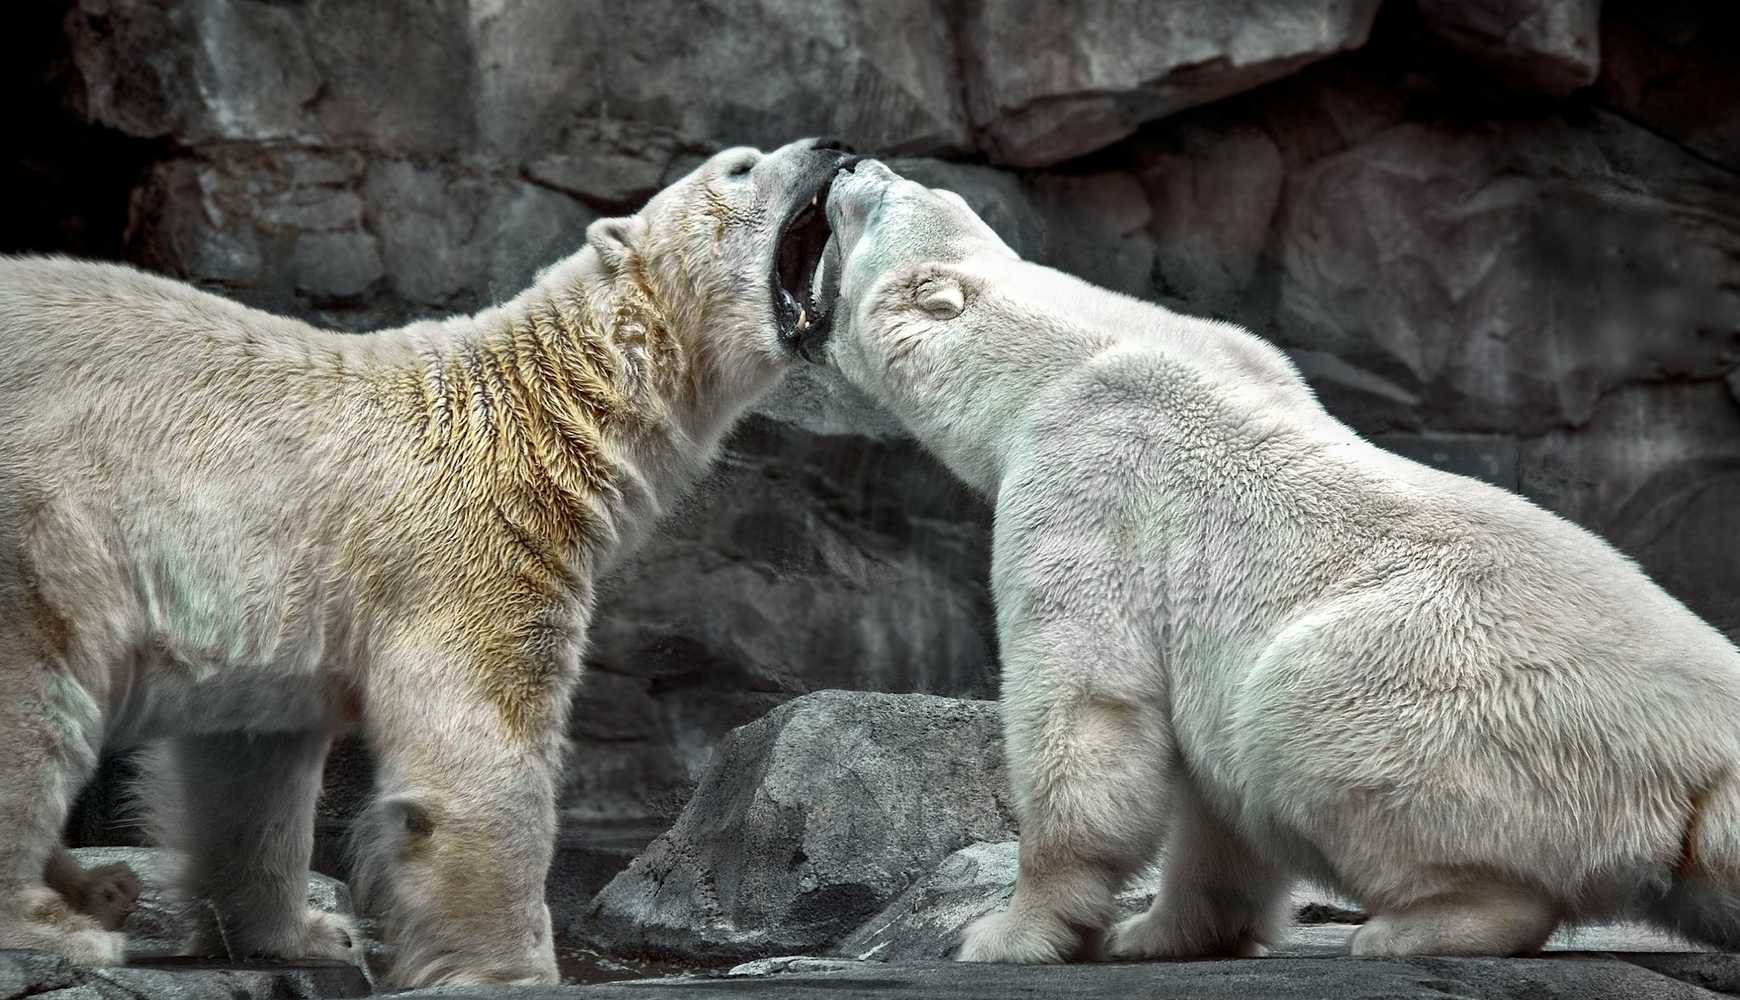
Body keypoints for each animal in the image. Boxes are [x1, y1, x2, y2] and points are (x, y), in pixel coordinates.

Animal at [0, 137, 854, 987]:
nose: (832, 146)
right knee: (35, 689)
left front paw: (306, 932)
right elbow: (481, 753)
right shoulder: (472, 549)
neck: (540, 416)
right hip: (42, 519)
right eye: (740, 165)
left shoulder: (276, 593)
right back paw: (56, 923)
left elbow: (252, 760)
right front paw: (516, 971)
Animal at [791, 158, 1740, 963]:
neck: (1073, 358)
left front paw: (1009, 932)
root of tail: (1707, 758)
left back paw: (1410, 927)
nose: (847, 162)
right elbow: (1213, 806)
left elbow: (1085, 698)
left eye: (880, 201)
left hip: (1464, 698)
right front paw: (1156, 933)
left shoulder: (1086, 476)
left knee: (1296, 710)